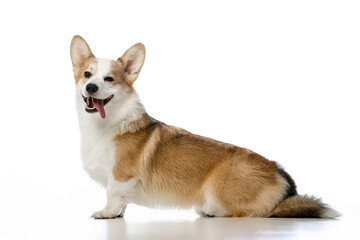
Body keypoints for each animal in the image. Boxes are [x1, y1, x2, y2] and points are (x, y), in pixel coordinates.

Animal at [69, 34, 338, 218]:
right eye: (87, 74)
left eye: (109, 79)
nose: (91, 87)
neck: (106, 123)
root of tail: (278, 172)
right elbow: (121, 202)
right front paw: (117, 214)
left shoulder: (121, 176)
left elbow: (113, 195)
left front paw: (106, 213)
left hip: (220, 188)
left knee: (253, 212)